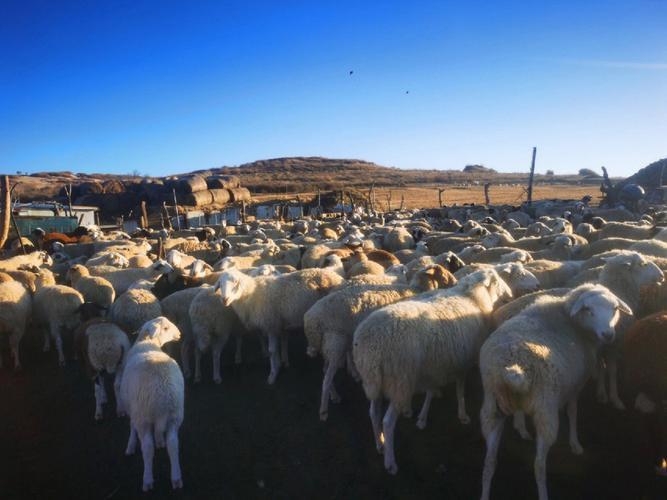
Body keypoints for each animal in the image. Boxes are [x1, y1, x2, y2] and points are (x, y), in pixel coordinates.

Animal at [120, 318, 185, 490]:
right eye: (166, 328)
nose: (179, 334)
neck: (147, 343)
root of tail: (163, 392)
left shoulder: (133, 408)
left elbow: (131, 426)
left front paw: (130, 445)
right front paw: (160, 441)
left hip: (143, 415)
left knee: (148, 449)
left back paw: (147, 479)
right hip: (175, 414)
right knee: (173, 445)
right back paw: (176, 477)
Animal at [217, 266, 348, 382]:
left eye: (235, 282)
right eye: (220, 285)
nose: (224, 299)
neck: (252, 294)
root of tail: (339, 278)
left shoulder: (271, 324)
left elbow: (272, 350)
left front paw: (273, 374)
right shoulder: (276, 325)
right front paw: (280, 363)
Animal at [304, 264, 456, 420]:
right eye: (443, 275)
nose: (455, 282)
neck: (416, 289)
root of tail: (312, 321)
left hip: (330, 344)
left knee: (326, 370)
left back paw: (336, 393)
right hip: (336, 342)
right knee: (327, 379)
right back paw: (324, 410)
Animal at [352, 270, 516, 472]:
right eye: (496, 281)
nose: (511, 294)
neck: (472, 298)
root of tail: (370, 346)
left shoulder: (435, 366)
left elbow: (431, 390)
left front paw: (423, 417)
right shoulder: (461, 362)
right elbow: (460, 390)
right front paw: (462, 415)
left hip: (374, 381)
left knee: (373, 413)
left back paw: (380, 444)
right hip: (400, 381)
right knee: (387, 422)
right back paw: (390, 462)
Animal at [480, 286, 632, 500]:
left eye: (615, 309)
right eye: (588, 309)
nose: (608, 334)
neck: (572, 323)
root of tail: (511, 369)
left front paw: (521, 427)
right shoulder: (575, 386)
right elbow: (573, 412)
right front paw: (575, 444)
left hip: (492, 408)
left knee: (489, 463)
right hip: (546, 410)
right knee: (538, 465)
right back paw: (544, 492)